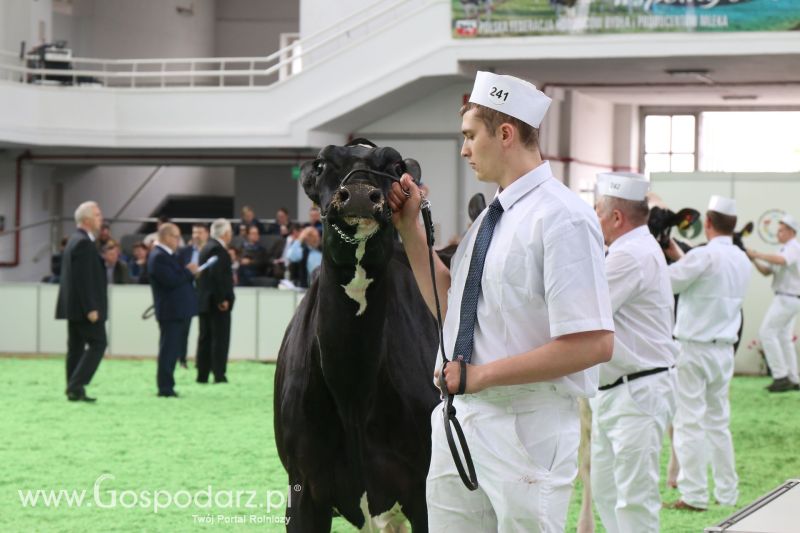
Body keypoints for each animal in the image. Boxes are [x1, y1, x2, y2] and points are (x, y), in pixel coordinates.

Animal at [274, 139, 438, 528]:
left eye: (395, 166)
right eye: (321, 163)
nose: (361, 195)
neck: (353, 393)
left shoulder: (423, 491)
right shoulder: (302, 486)